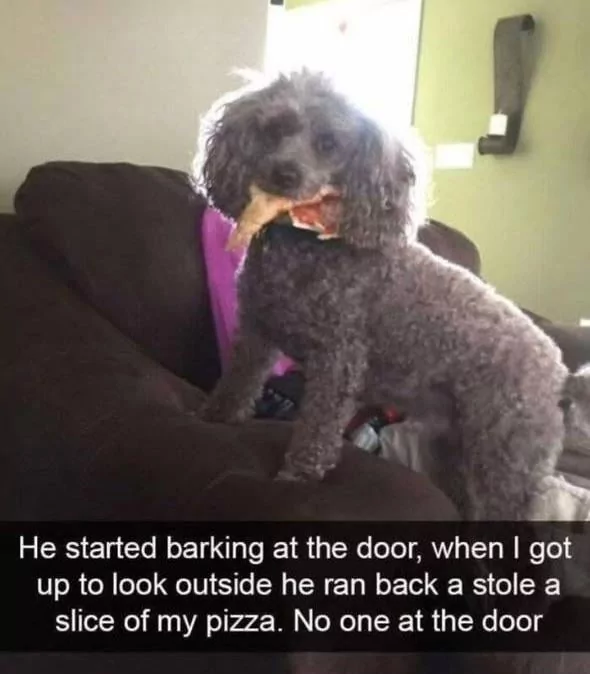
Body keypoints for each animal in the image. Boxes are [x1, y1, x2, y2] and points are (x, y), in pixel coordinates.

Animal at [193, 70, 569, 520]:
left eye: (329, 143)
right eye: (275, 129)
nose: (284, 174)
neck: (304, 245)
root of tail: (556, 368)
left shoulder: (337, 361)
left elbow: (316, 431)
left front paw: (296, 478)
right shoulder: (256, 331)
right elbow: (237, 382)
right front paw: (214, 417)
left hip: (506, 455)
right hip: (454, 445)